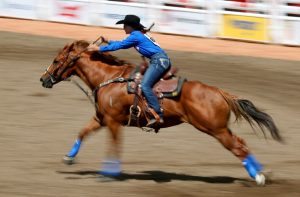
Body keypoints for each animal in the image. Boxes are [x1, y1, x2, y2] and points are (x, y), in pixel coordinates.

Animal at [40, 39, 284, 185]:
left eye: (56, 60)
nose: (43, 79)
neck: (109, 78)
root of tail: (220, 92)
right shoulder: (101, 118)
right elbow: (82, 132)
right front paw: (69, 157)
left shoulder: (113, 122)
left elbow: (114, 147)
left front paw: (110, 173)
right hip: (220, 128)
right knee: (242, 143)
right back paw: (263, 173)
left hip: (215, 129)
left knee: (238, 148)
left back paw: (259, 177)